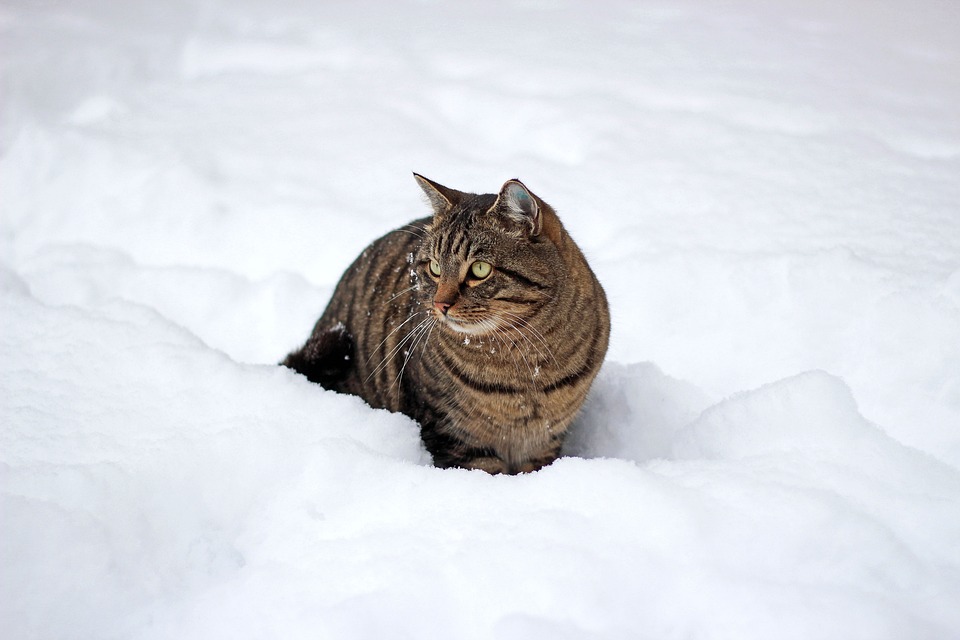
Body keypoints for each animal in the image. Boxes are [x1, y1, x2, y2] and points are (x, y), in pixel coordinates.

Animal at [284, 175, 608, 476]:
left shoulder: (546, 440)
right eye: (435, 267)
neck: (524, 366)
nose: (440, 304)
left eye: (480, 269)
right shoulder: (453, 435)